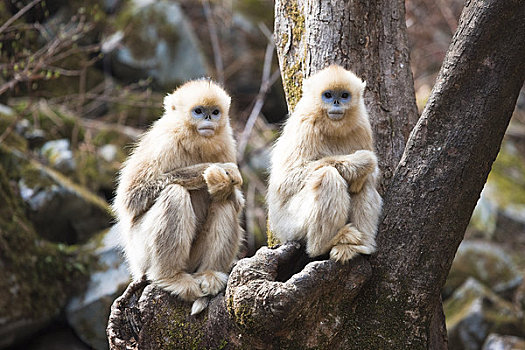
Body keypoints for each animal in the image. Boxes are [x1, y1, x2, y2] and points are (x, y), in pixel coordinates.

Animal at [266, 65, 380, 262]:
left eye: (344, 95)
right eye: (328, 95)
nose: (336, 102)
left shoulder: (362, 126)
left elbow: (372, 175)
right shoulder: (305, 126)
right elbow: (286, 179)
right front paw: (362, 162)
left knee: (365, 182)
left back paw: (359, 246)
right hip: (290, 225)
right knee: (327, 175)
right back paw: (324, 244)